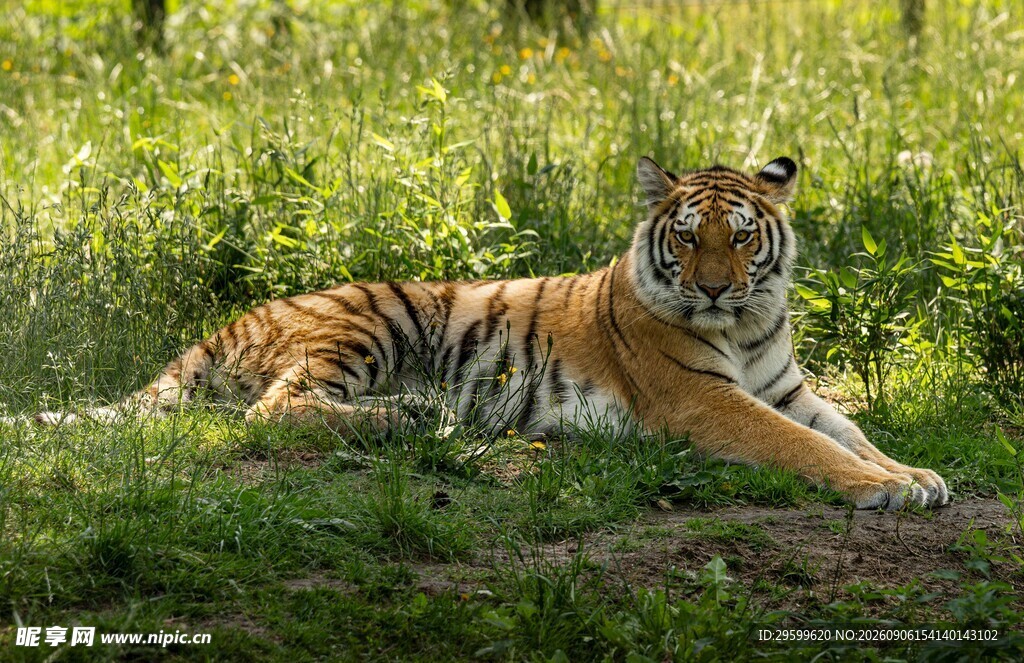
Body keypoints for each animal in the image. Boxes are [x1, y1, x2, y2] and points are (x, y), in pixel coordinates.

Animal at [33, 155, 947, 510]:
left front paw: (917, 474)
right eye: (689, 238)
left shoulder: (786, 388)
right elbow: (808, 447)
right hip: (371, 324)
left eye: (745, 236)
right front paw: (884, 489)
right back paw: (411, 419)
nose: (717, 287)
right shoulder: (705, 400)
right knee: (274, 410)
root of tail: (240, 316)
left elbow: (850, 431)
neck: (751, 323)